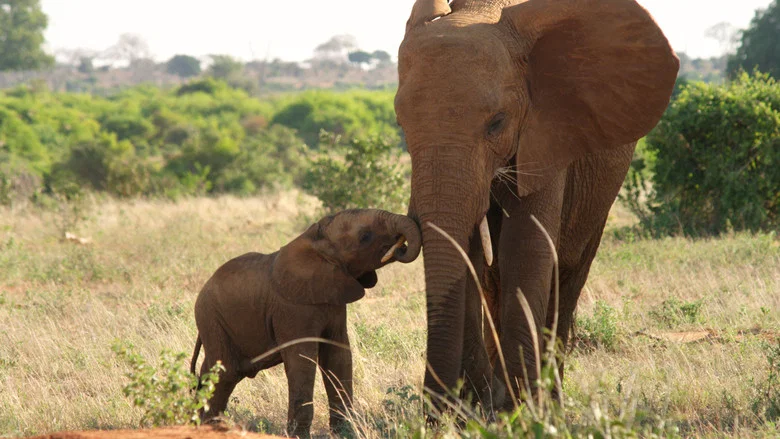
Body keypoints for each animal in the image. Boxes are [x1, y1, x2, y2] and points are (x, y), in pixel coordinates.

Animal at [189, 209, 421, 438]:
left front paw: (345, 433)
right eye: (365, 236)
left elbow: (338, 356)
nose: (400, 247)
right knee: (224, 375)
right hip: (212, 319)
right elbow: (302, 360)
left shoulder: (333, 300)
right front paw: (300, 435)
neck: (315, 242)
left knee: (211, 372)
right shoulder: (292, 309)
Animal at [394, 0, 679, 411]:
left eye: (497, 123)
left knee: (568, 276)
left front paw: (523, 412)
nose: (436, 414)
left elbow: (526, 247)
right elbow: (472, 256)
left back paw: (551, 403)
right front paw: (483, 406)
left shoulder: (548, 132)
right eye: (401, 124)